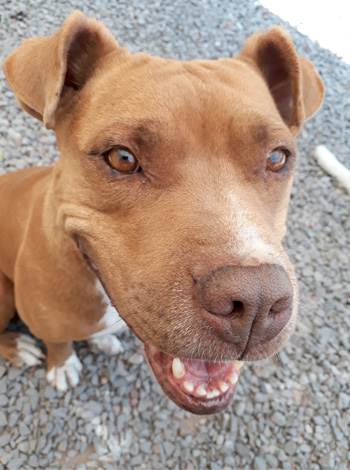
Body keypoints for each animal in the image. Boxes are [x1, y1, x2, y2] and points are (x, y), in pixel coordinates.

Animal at [0, 11, 322, 414]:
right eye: (122, 158)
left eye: (277, 158)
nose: (257, 302)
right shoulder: (48, 322)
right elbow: (58, 343)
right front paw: (62, 365)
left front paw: (100, 340)